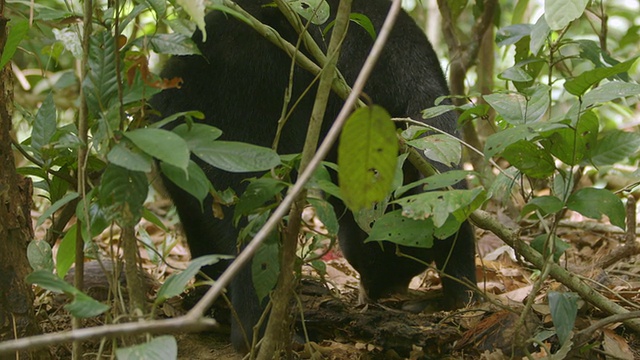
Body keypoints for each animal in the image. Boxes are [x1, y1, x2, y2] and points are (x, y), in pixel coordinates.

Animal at [151, 0, 476, 352]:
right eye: (377, 262)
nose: (374, 295)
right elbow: (443, 176)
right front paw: (460, 296)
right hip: (239, 133)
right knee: (255, 224)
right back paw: (263, 334)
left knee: (203, 224)